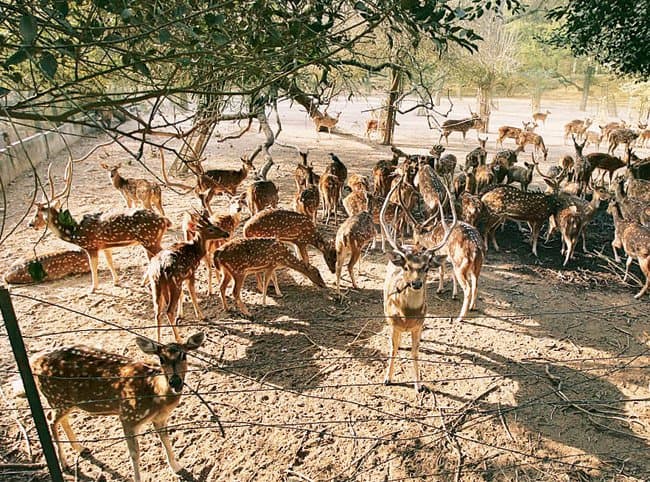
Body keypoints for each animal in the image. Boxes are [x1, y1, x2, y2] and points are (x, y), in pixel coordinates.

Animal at [29, 160, 171, 292]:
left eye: (37, 214)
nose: (30, 224)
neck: (74, 232)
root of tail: (164, 220)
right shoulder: (104, 245)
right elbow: (109, 261)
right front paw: (116, 281)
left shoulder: (90, 246)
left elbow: (93, 266)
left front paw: (93, 288)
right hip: (148, 240)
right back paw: (144, 281)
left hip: (150, 239)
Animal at [31, 332, 205, 482]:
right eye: (161, 358)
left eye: (184, 355)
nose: (175, 381)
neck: (155, 392)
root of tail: (33, 362)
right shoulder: (127, 416)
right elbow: (134, 453)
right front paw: (138, 479)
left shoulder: (160, 418)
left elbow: (166, 440)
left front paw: (176, 467)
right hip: (57, 398)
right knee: (51, 420)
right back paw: (64, 463)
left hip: (67, 402)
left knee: (61, 420)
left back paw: (80, 448)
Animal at [149, 213, 229, 342]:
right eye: (211, 229)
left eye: (215, 225)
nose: (226, 233)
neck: (197, 252)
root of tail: (158, 271)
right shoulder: (191, 273)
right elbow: (193, 294)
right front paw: (201, 316)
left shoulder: (183, 278)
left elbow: (185, 295)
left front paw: (181, 315)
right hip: (174, 283)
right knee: (168, 311)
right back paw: (179, 339)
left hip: (155, 285)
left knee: (157, 312)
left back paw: (158, 340)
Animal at [380, 176, 457, 392]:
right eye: (406, 266)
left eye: (427, 267)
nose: (415, 284)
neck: (407, 316)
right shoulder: (394, 324)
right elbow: (393, 349)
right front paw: (387, 378)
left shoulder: (419, 325)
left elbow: (415, 352)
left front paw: (419, 384)